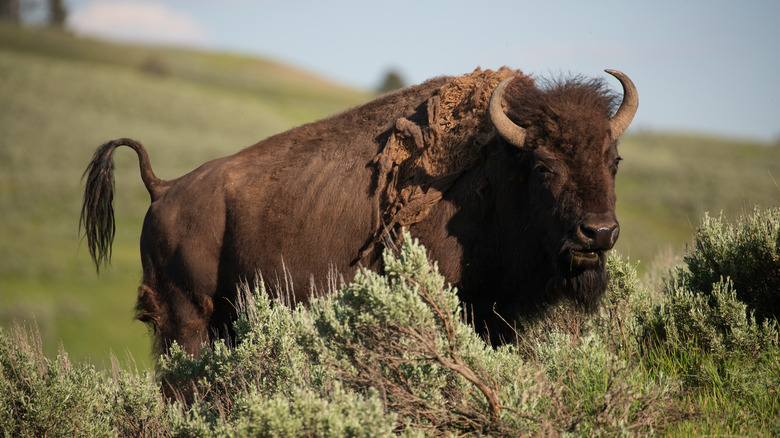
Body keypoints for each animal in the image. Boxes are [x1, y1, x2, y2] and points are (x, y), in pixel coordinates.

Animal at [81, 67, 637, 356]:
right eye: (543, 166)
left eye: (614, 160)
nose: (599, 232)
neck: (497, 171)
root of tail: (164, 188)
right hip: (186, 319)